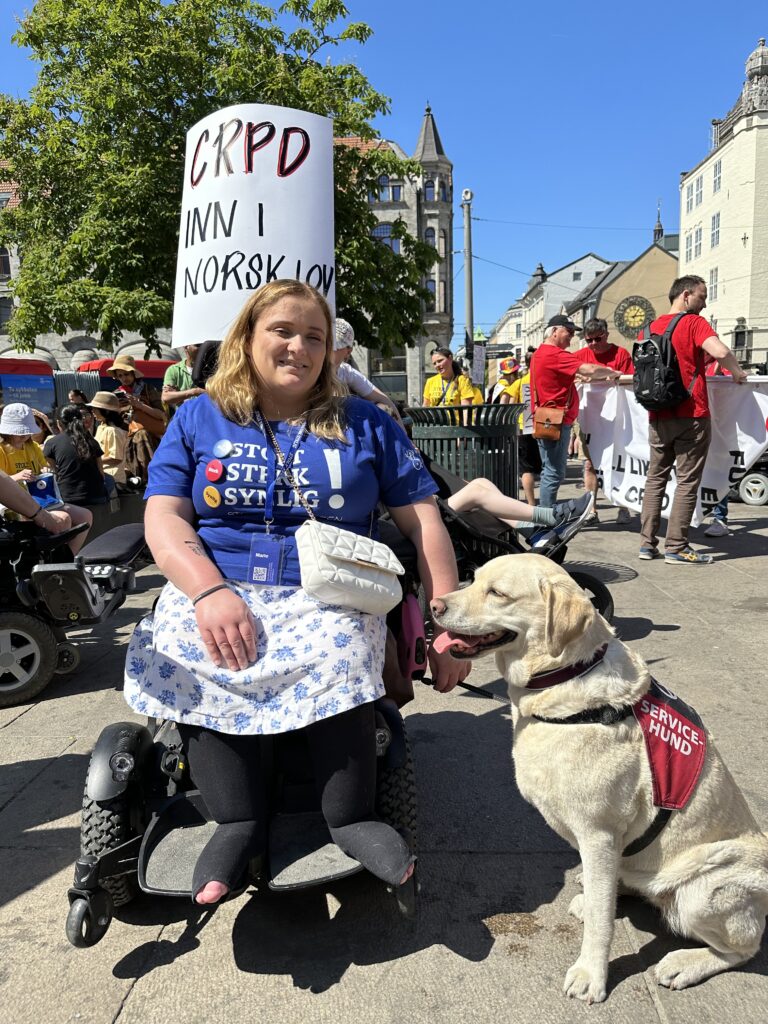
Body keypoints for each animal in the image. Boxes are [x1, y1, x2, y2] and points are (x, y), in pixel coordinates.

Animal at [434, 557, 768, 1003]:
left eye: (498, 593)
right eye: (472, 578)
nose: (434, 606)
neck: (564, 675)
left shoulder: (599, 834)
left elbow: (600, 921)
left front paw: (591, 974)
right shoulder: (599, 842)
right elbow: (600, 899)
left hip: (708, 888)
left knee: (743, 949)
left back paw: (685, 963)